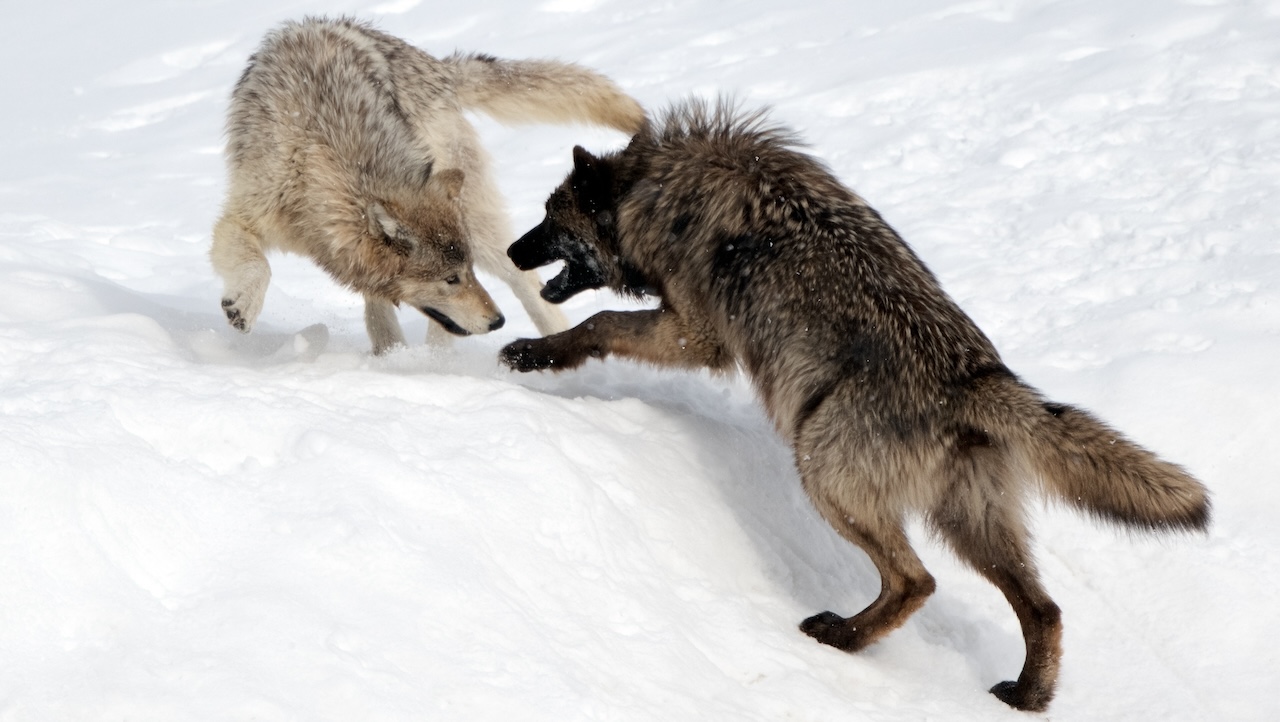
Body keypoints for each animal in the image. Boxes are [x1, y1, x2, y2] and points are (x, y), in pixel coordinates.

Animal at [216, 16, 650, 353]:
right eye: (450, 280)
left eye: (464, 273)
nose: (497, 322)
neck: (315, 150)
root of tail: (439, 68)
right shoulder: (243, 216)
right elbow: (258, 266)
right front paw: (245, 306)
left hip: (484, 227)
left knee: (524, 281)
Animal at [496, 99, 1208, 711]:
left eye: (549, 219)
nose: (507, 250)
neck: (656, 190)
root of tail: (975, 379)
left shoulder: (693, 334)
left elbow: (599, 323)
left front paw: (534, 353)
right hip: (969, 523)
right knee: (1043, 609)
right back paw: (1026, 696)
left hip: (824, 475)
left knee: (917, 581)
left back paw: (841, 637)